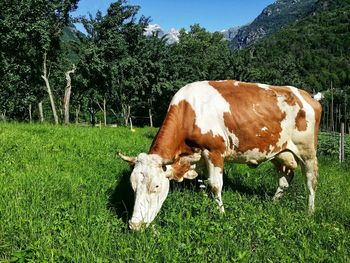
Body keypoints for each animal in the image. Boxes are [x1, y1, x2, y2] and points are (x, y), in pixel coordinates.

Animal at [119, 80, 322, 231]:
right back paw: (272, 204)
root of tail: (307, 96)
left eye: (156, 186)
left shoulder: (214, 152)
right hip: (280, 153)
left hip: (307, 151)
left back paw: (310, 212)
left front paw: (221, 214)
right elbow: (205, 183)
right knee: (285, 180)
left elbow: (215, 186)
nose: (134, 225)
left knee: (310, 181)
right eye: (133, 186)